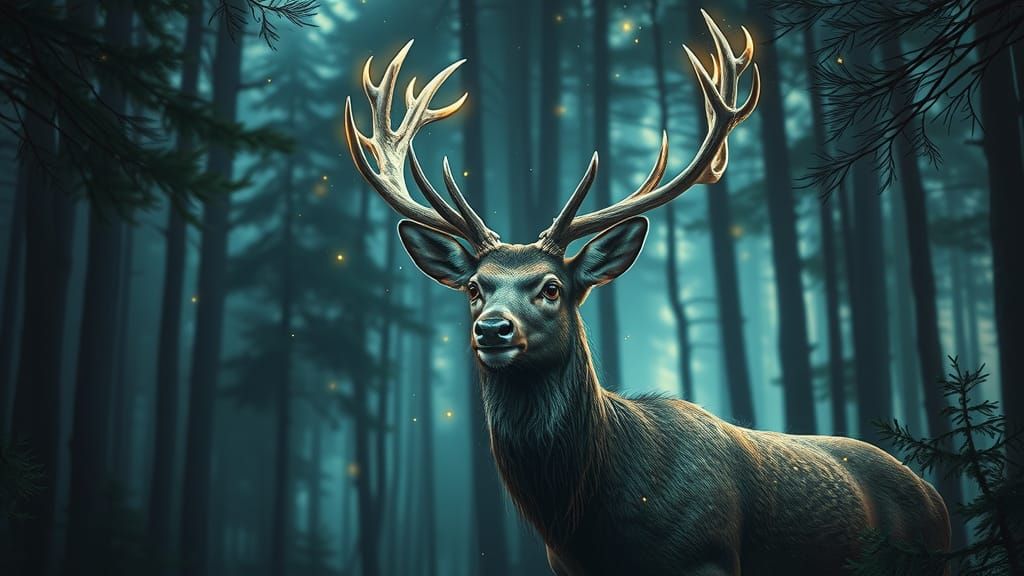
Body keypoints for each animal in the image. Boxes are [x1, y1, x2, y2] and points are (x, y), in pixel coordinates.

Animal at [343, 11, 951, 576]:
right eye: (474, 287)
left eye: (552, 288)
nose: (492, 328)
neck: (594, 524)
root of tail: (937, 497)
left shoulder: (707, 555)